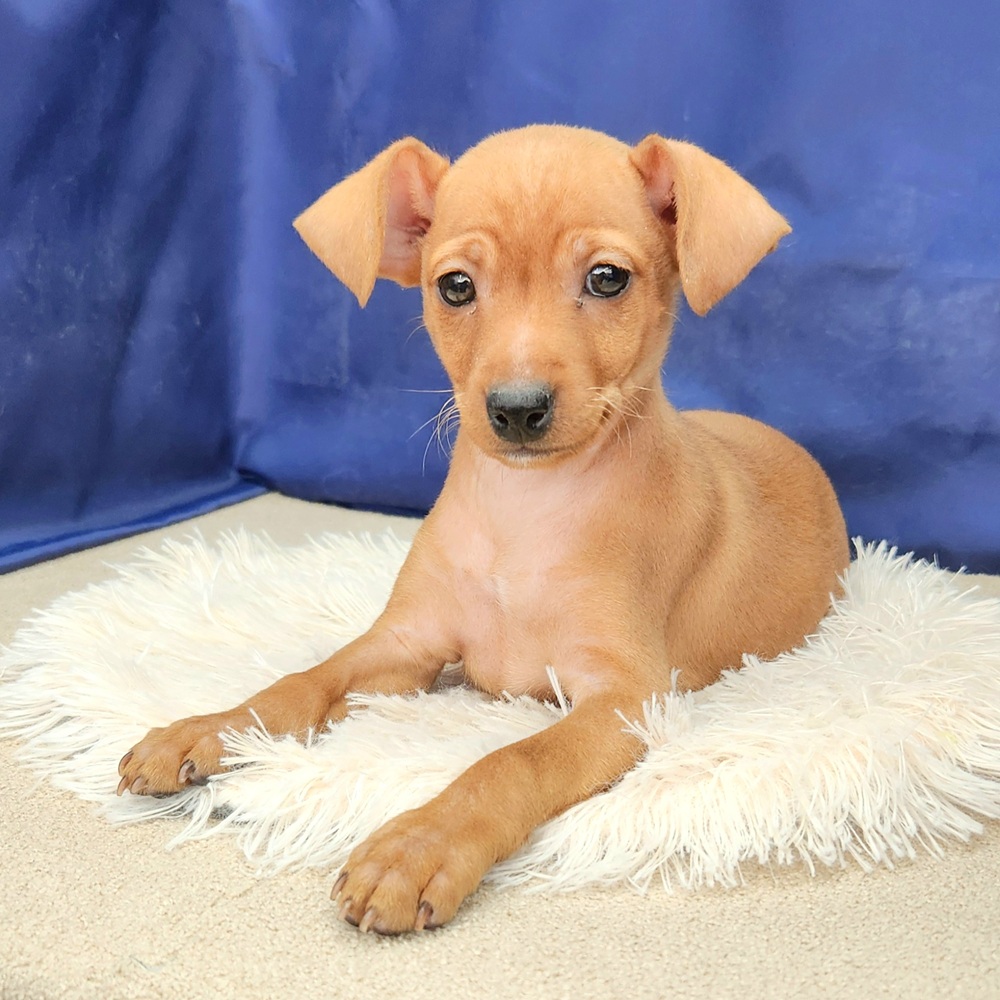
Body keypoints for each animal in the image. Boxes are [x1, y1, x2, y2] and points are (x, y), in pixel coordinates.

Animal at [117, 125, 849, 934]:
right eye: (456, 287)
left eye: (607, 279)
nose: (517, 409)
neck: (523, 511)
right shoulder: (405, 644)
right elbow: (300, 681)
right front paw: (212, 727)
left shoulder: (624, 700)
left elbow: (512, 761)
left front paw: (419, 845)